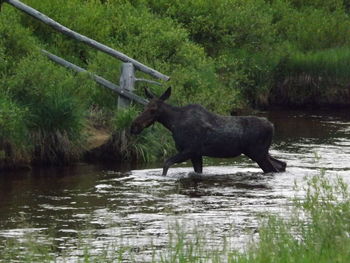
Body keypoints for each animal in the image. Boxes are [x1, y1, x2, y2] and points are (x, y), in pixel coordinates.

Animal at [130, 87, 286, 176]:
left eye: (153, 110)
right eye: (144, 106)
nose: (134, 126)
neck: (173, 124)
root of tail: (272, 126)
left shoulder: (190, 150)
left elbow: (166, 164)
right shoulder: (196, 154)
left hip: (257, 153)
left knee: (273, 168)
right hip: (262, 152)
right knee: (282, 164)